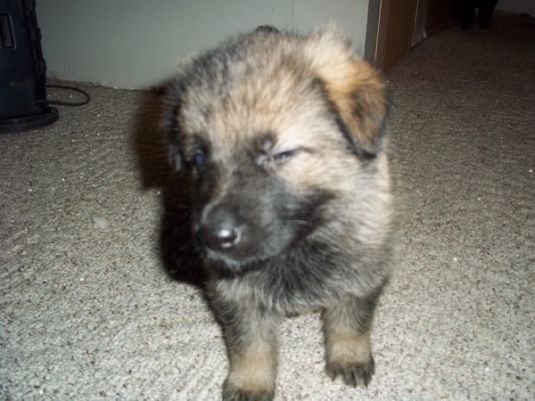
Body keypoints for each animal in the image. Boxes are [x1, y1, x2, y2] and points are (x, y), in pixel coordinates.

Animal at [163, 25, 394, 400]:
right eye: (198, 158)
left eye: (280, 154)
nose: (212, 236)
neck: (300, 243)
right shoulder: (236, 294)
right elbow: (250, 343)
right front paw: (250, 382)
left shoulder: (362, 272)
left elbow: (350, 321)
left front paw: (349, 356)